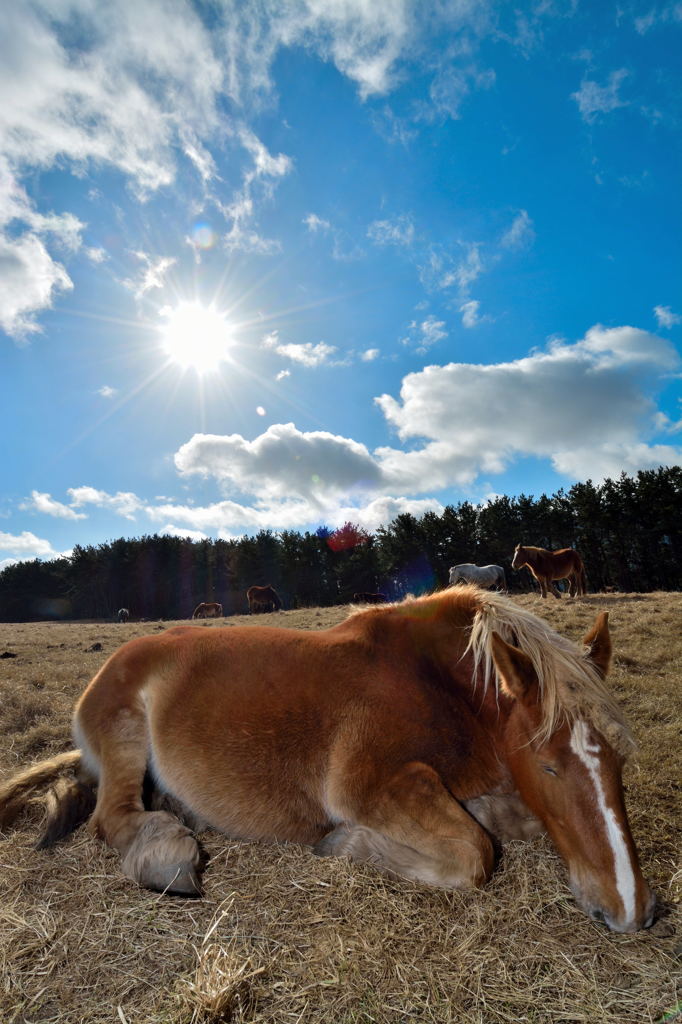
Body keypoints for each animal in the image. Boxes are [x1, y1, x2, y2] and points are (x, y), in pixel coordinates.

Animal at [0, 589, 655, 933]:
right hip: (125, 736)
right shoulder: (376, 785)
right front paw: (347, 845)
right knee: (111, 817)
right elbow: (474, 854)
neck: (437, 687)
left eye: (620, 761)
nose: (632, 911)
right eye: (548, 765)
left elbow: (504, 823)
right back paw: (167, 854)